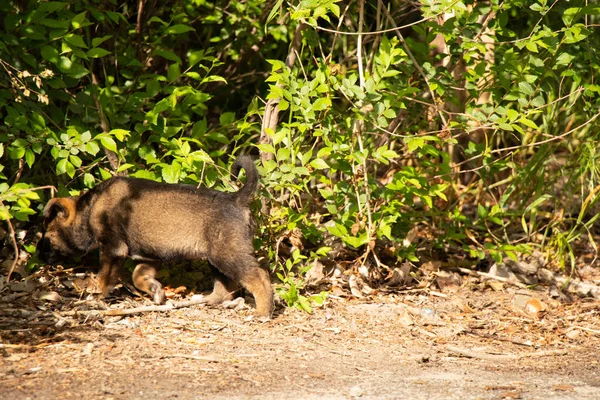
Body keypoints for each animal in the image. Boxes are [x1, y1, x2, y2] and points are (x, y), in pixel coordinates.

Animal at [35, 155, 272, 316]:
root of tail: (237, 198)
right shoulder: (149, 256)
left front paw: (96, 294)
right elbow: (138, 276)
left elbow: (104, 276)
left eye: (48, 234)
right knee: (226, 286)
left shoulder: (113, 249)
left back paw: (263, 312)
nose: (38, 255)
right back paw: (209, 300)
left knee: (259, 277)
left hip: (227, 253)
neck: (89, 209)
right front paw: (155, 290)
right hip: (215, 257)